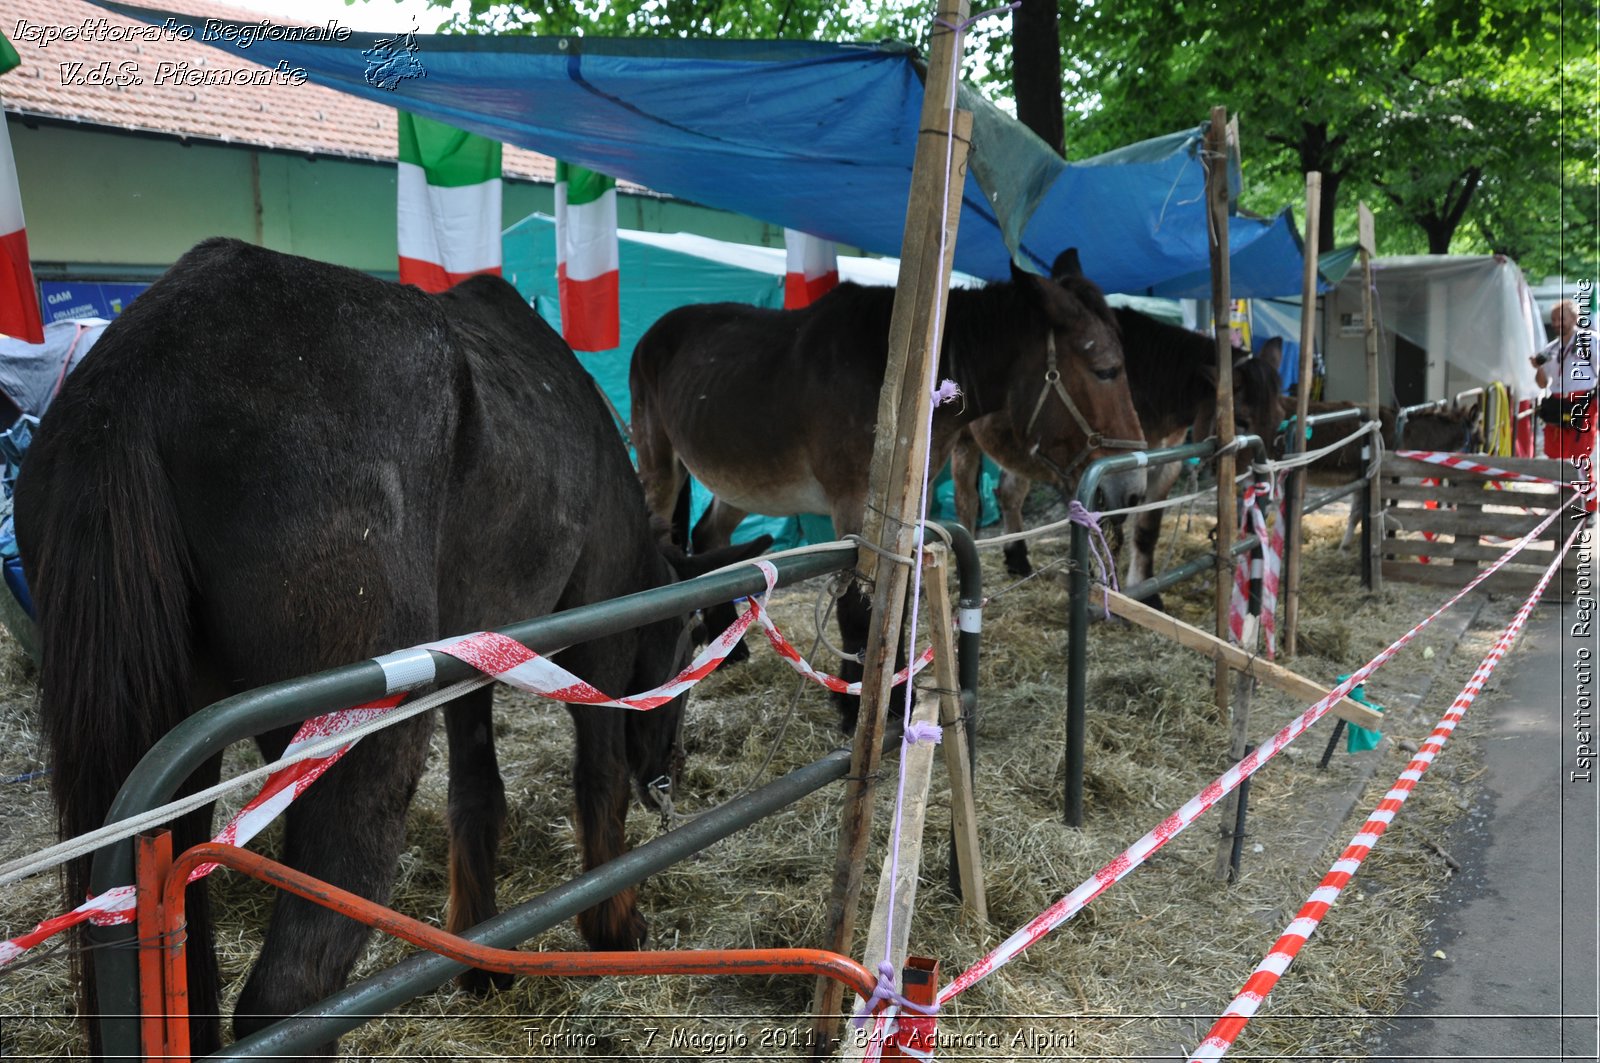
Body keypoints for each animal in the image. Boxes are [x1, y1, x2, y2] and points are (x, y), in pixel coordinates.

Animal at [630, 252, 1145, 726]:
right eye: (1107, 370)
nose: (1132, 489)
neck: (907, 389)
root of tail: (658, 329)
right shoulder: (855, 506)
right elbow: (860, 609)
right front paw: (858, 701)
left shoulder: (911, 509)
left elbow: (896, 600)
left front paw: (894, 692)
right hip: (660, 463)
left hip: (742, 485)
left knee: (709, 536)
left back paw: (728, 645)